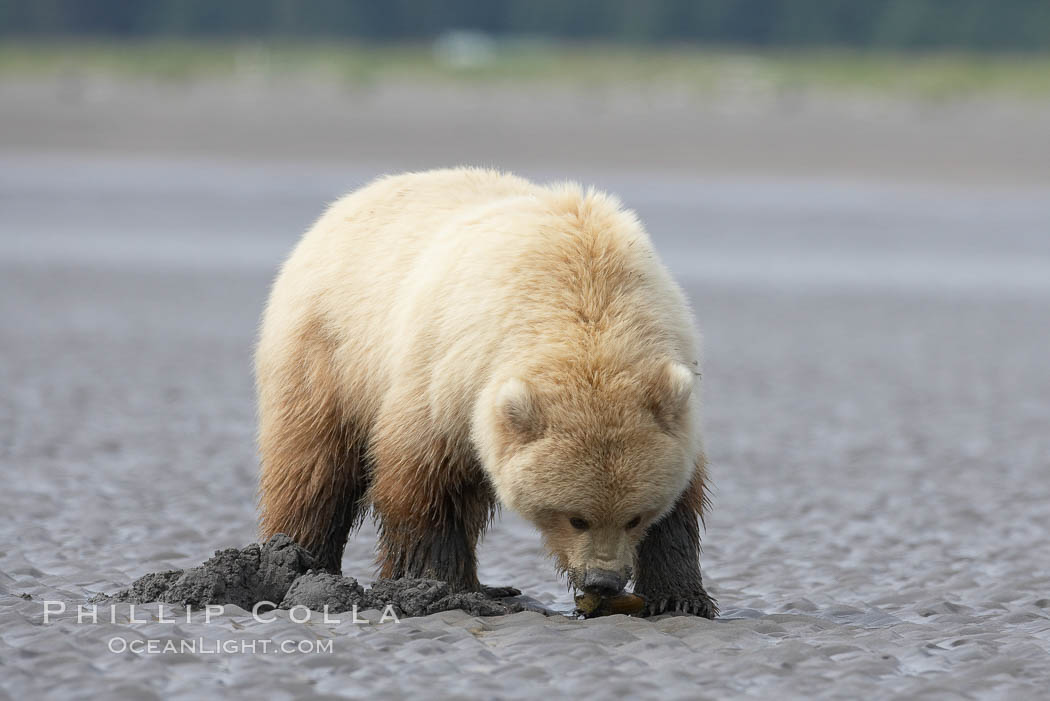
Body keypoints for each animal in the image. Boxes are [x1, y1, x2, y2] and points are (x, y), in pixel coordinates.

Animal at [256, 167, 716, 617]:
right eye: (576, 518)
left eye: (635, 517)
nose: (602, 580)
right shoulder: (448, 373)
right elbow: (427, 487)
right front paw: (437, 586)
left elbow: (680, 505)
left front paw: (679, 597)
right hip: (328, 350)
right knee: (313, 467)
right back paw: (294, 562)